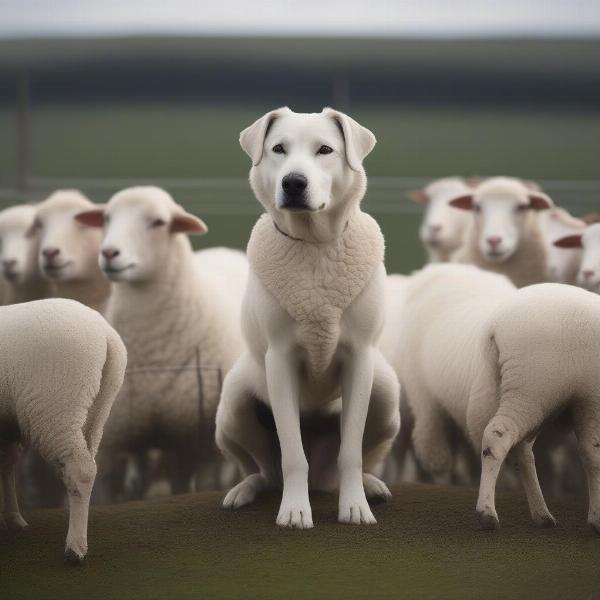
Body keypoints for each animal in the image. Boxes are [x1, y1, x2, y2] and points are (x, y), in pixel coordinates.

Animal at [0, 300, 125, 564]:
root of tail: (105, 333)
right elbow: (5, 463)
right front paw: (10, 518)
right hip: (97, 409)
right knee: (88, 466)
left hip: (55, 407)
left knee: (79, 470)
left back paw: (74, 550)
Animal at [75, 186, 248, 496]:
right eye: (107, 217)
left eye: (158, 222)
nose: (109, 253)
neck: (152, 345)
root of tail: (227, 250)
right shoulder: (113, 441)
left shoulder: (186, 439)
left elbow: (182, 485)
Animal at [213, 108, 400, 528]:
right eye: (278, 149)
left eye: (325, 150)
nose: (294, 183)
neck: (315, 245)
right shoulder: (279, 359)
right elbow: (292, 455)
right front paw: (295, 510)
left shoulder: (360, 357)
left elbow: (352, 451)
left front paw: (354, 506)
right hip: (233, 406)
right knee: (267, 471)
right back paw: (245, 490)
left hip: (385, 393)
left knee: (345, 461)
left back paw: (369, 485)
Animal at [396, 264, 600, 532]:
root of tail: (494, 324)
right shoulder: (593, 399)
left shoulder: (588, 401)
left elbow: (591, 454)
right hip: (528, 390)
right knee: (494, 438)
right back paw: (487, 514)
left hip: (536, 397)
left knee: (520, 449)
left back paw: (541, 514)